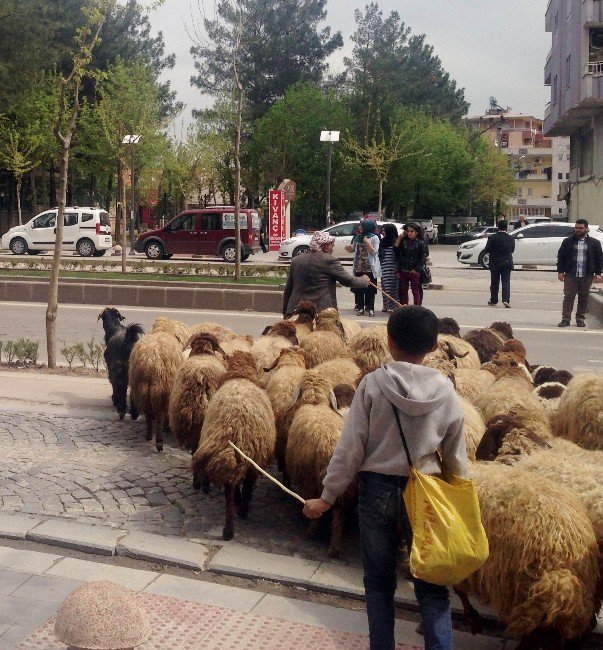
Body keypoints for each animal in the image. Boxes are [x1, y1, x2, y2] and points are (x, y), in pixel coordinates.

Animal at [192, 352, 278, 540]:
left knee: (230, 488)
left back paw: (229, 527)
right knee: (238, 486)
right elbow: (246, 485)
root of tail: (234, 425)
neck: (241, 377)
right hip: (251, 456)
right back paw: (239, 516)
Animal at [286, 378, 356, 556]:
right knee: (339, 510)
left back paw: (312, 532)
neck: (315, 403)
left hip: (312, 478)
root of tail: (329, 446)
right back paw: (335, 546)